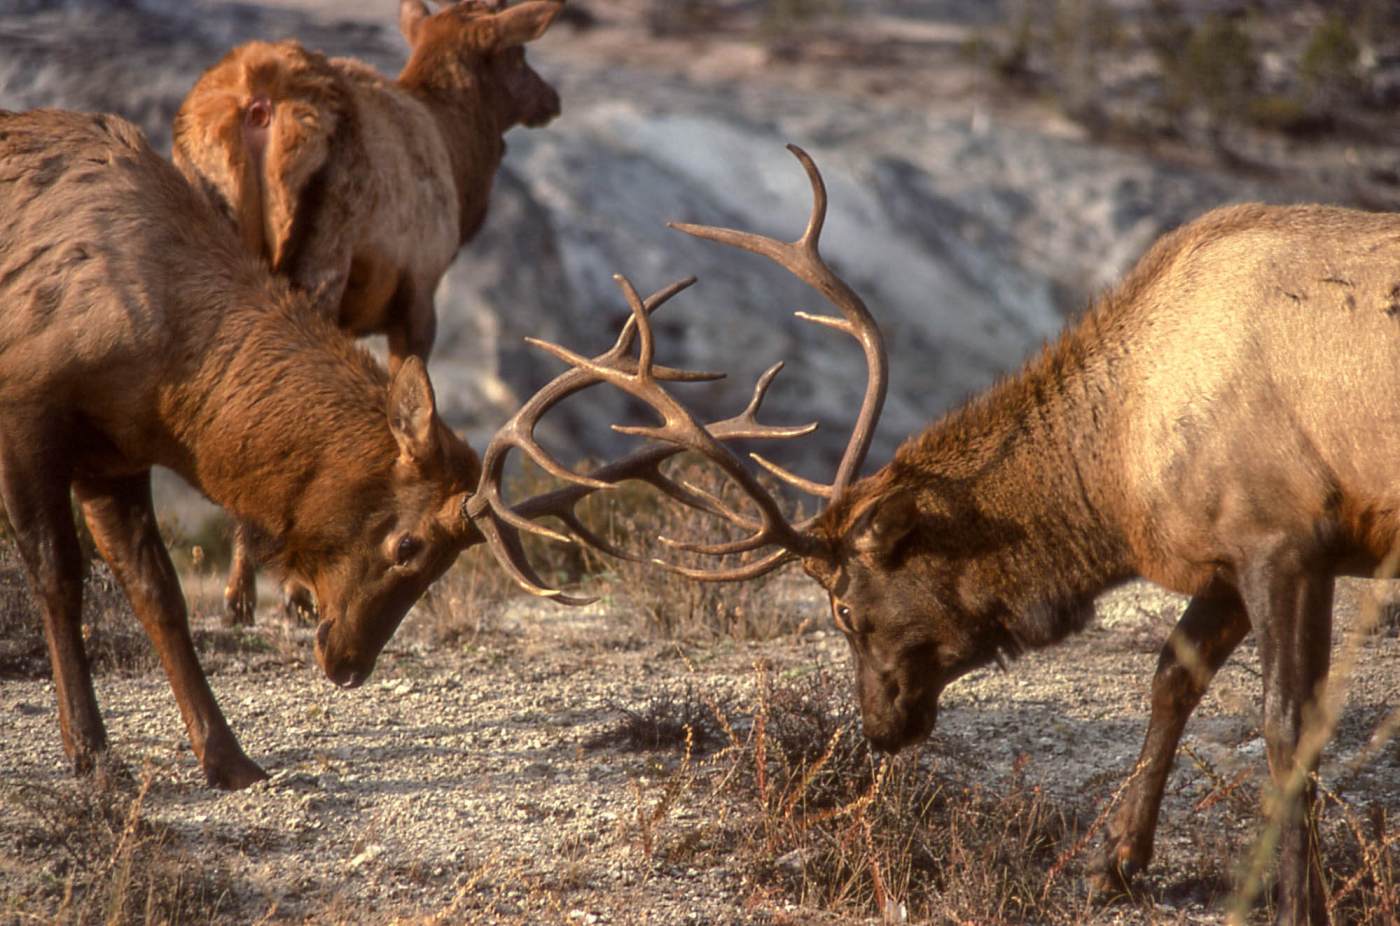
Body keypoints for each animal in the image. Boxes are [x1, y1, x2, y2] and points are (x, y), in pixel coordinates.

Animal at [173, 0, 562, 624]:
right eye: (519, 53)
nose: (551, 97)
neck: (457, 156)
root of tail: (257, 106)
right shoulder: (419, 291)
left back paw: (240, 597)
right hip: (324, 247)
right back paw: (290, 593)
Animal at [495, 147, 1388, 918]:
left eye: (846, 610)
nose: (878, 729)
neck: (1122, 471)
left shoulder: (1282, 536)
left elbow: (1288, 725)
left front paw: (1298, 905)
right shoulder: (1230, 554)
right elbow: (1172, 676)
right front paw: (1112, 864)